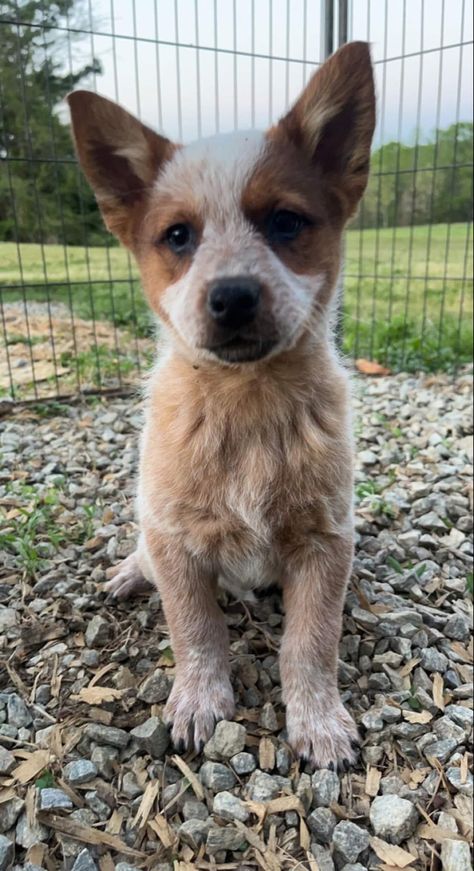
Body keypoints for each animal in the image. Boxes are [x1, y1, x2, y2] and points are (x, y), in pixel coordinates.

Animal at [68, 41, 376, 768]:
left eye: (285, 222)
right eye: (179, 236)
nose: (233, 295)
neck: (247, 403)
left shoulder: (326, 541)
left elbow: (311, 641)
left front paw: (319, 720)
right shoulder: (177, 540)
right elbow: (196, 629)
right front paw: (198, 702)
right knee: (145, 554)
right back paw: (129, 573)